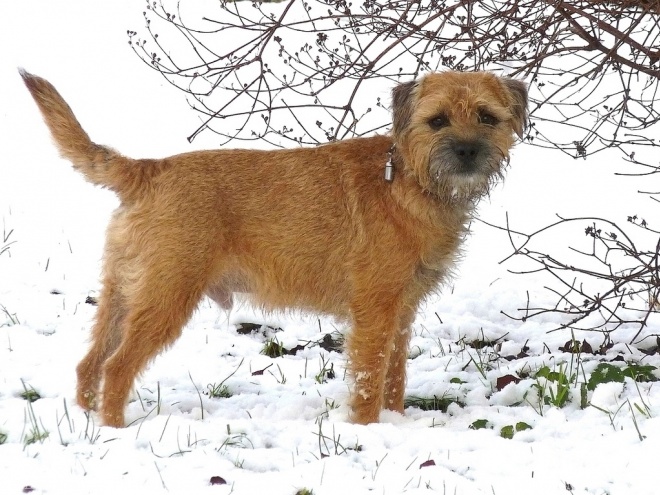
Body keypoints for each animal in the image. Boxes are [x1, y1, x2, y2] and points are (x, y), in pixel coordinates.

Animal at [19, 68, 524, 428]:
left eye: (486, 116)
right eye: (437, 121)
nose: (467, 151)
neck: (408, 179)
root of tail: (148, 170)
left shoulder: (400, 313)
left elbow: (394, 376)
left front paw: (396, 422)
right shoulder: (374, 313)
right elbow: (368, 379)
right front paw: (367, 430)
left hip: (122, 293)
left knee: (90, 363)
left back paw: (88, 420)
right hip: (166, 297)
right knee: (117, 367)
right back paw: (115, 430)